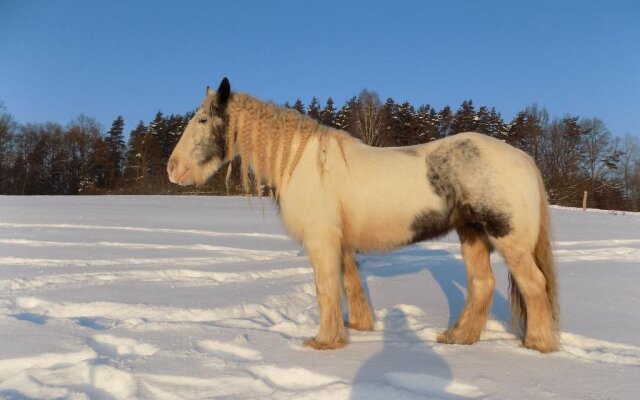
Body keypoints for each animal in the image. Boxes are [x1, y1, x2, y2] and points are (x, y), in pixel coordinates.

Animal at [166, 78, 560, 354]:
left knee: (533, 285)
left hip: (508, 238)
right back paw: (457, 338)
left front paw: (324, 341)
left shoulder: (321, 239)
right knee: (482, 286)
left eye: (203, 119)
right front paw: (357, 327)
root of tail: (524, 158)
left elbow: (326, 288)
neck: (304, 162)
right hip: (472, 233)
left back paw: (537, 344)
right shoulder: (340, 241)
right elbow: (350, 283)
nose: (173, 169)